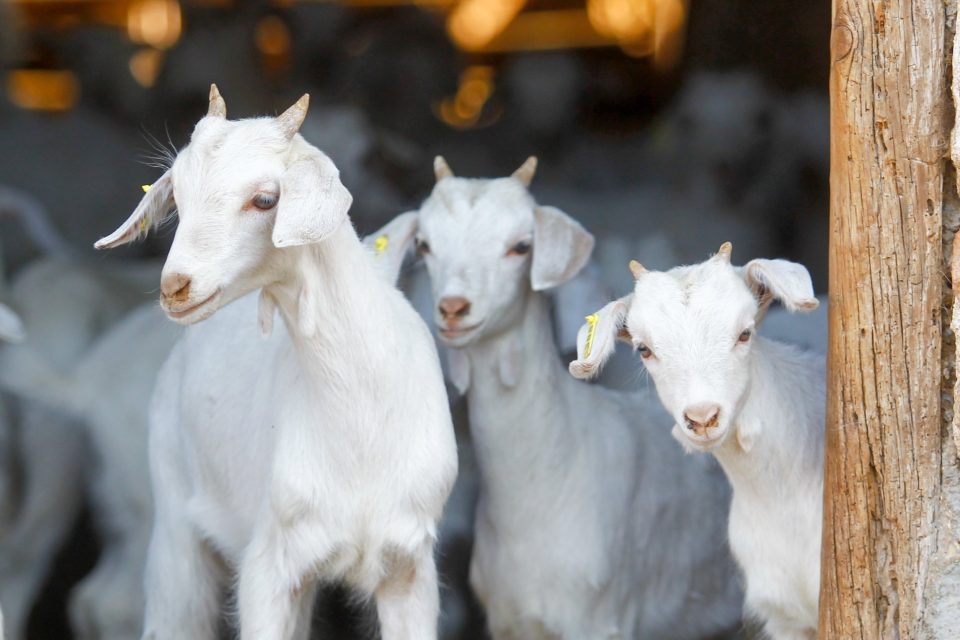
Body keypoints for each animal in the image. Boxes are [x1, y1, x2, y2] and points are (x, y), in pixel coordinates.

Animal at [95, 86, 458, 640]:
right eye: (177, 195)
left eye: (266, 198)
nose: (175, 287)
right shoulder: (267, 566)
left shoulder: (409, 567)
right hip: (172, 517)